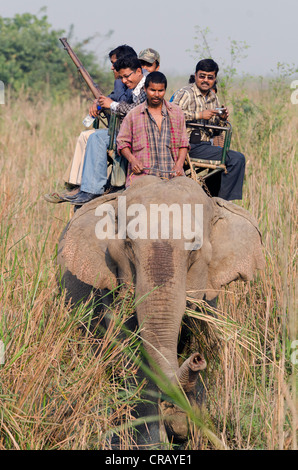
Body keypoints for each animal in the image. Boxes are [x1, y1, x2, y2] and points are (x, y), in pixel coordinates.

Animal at [57, 176, 264, 448]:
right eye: (128, 245)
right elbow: (131, 356)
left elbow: (201, 337)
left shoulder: (208, 295)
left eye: (195, 249)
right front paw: (153, 441)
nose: (197, 360)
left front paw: (188, 425)